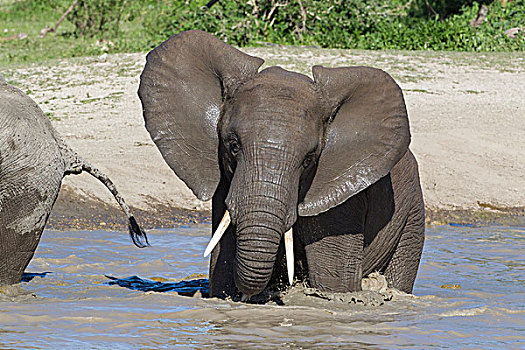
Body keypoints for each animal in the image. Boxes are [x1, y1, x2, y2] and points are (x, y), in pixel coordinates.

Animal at [137, 30, 424, 300]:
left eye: (308, 160)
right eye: (233, 146)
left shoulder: (343, 203)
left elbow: (334, 283)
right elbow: (222, 271)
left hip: (412, 216)